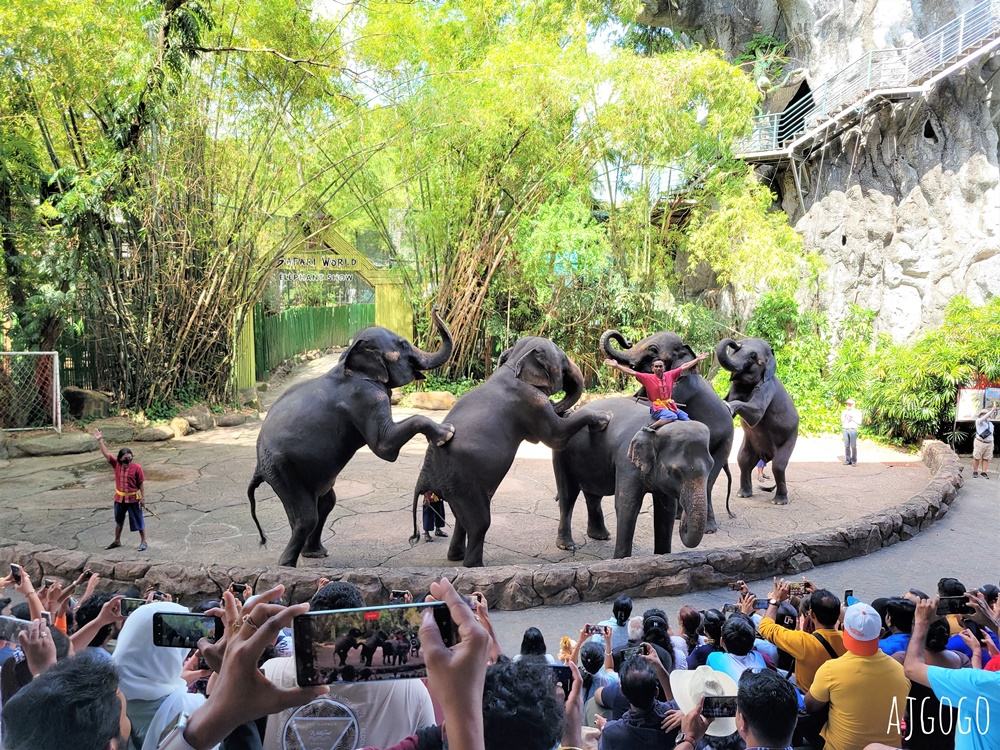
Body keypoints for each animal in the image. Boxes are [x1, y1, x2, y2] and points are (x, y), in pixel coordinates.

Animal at [248, 308, 456, 568]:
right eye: (404, 345)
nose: (436, 308)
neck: (348, 357)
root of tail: (257, 467)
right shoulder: (366, 397)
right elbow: (385, 447)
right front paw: (447, 432)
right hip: (282, 469)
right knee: (306, 517)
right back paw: (287, 567)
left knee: (326, 503)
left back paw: (316, 553)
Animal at [410, 338, 612, 568]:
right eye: (563, 361)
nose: (558, 406)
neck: (515, 361)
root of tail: (424, 477)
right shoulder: (531, 402)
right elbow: (556, 437)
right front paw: (605, 418)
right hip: (463, 484)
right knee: (479, 523)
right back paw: (475, 566)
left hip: (454, 488)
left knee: (462, 520)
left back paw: (456, 557)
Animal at [552, 400, 716, 560]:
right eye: (674, 471)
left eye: (711, 466)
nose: (683, 522)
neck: (656, 432)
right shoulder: (626, 461)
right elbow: (628, 505)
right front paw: (621, 560)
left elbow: (667, 509)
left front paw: (663, 557)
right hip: (561, 454)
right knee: (568, 494)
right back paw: (567, 545)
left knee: (594, 494)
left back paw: (600, 536)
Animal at [600, 330, 736, 536]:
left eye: (653, 349)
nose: (628, 340)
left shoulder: (681, 387)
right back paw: (680, 517)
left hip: (726, 440)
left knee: (711, 478)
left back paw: (708, 529)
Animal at [716, 340, 800, 506]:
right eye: (737, 348)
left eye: (753, 357)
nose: (734, 343)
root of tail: (767, 456)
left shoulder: (767, 387)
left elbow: (756, 412)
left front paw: (727, 406)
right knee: (743, 460)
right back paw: (743, 494)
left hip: (790, 438)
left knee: (778, 466)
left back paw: (778, 501)